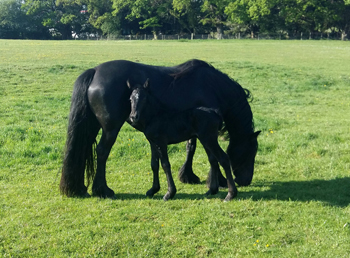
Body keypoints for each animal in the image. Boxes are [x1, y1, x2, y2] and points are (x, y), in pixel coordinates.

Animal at [58, 59, 258, 199]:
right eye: (252, 151)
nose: (245, 181)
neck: (213, 86)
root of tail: (95, 71)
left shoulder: (193, 127)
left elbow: (191, 149)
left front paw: (189, 176)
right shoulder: (203, 130)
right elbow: (202, 153)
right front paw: (217, 181)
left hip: (92, 126)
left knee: (84, 149)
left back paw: (81, 188)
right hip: (110, 128)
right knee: (102, 152)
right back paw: (103, 189)